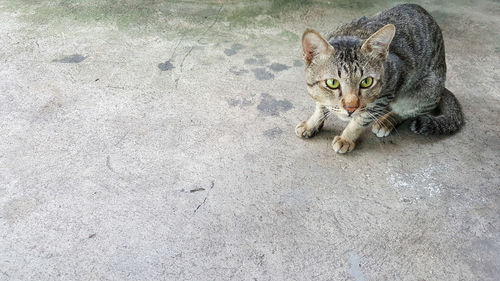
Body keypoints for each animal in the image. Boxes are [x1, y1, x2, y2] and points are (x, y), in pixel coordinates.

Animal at [294, 3, 462, 153]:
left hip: (425, 91)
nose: (350, 109)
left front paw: (347, 138)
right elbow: (320, 105)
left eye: (366, 82)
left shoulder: (388, 90)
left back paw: (387, 121)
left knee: (409, 111)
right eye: (332, 83)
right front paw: (311, 124)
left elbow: (360, 120)